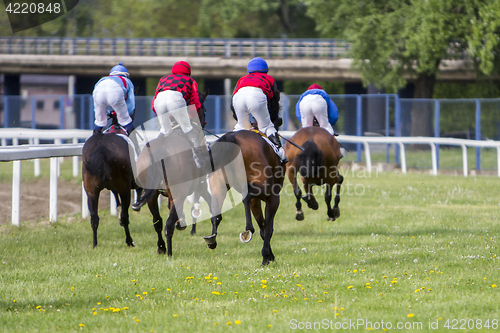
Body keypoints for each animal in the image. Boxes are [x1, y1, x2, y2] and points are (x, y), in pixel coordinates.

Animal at [82, 113, 141, 248]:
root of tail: (101, 149)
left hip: (91, 191)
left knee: (94, 218)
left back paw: (95, 244)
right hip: (124, 189)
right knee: (124, 217)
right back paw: (129, 241)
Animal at [203, 130, 286, 264]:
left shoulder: (256, 201)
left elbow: (263, 227)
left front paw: (269, 255)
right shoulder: (273, 198)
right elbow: (268, 228)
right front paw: (266, 256)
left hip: (218, 184)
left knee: (216, 213)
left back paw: (212, 239)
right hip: (265, 189)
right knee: (246, 197)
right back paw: (248, 230)